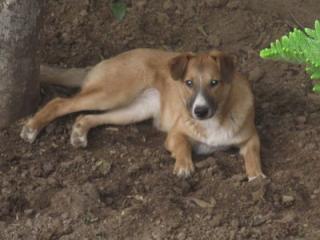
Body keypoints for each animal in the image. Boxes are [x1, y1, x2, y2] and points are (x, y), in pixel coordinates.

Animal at [19, 48, 264, 180]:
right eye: (188, 83)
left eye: (215, 83)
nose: (200, 111)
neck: (215, 119)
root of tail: (107, 60)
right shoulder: (175, 134)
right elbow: (183, 146)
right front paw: (183, 166)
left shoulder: (251, 138)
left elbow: (253, 155)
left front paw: (257, 176)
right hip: (112, 93)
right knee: (60, 102)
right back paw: (32, 128)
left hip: (132, 110)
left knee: (85, 116)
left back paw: (79, 133)